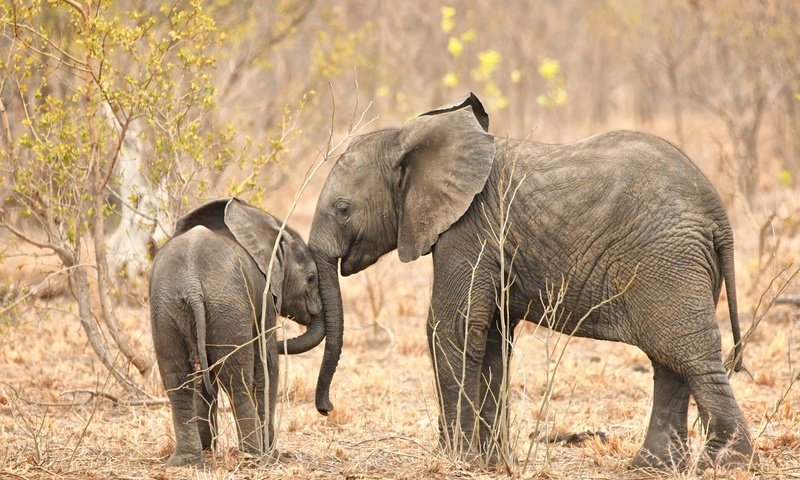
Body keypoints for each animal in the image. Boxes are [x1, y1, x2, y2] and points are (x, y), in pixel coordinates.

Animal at [150, 197, 324, 466]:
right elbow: (267, 363)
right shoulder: (264, 294)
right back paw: (253, 456)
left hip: (166, 309)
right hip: (226, 307)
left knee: (177, 380)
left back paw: (186, 461)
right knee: (236, 380)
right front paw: (272, 455)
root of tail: (191, 284)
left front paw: (208, 450)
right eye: (311, 278)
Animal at [308, 93, 756, 468]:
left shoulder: (469, 230)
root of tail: (719, 214)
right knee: (670, 361)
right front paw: (489, 463)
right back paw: (652, 467)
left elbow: (451, 327)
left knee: (689, 355)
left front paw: (456, 461)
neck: (411, 138)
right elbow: (490, 337)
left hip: (667, 261)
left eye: (343, 209)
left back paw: (724, 463)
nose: (327, 409)